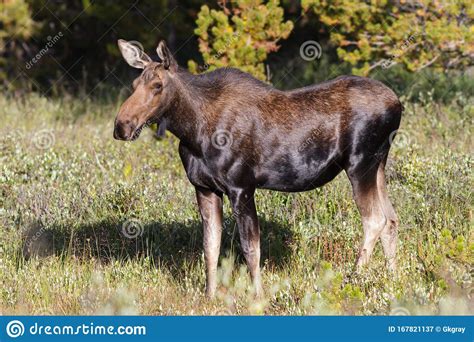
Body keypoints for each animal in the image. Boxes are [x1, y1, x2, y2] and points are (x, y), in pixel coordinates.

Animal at [113, 39, 402, 296]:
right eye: (134, 84)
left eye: (157, 85)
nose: (122, 126)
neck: (191, 131)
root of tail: (397, 104)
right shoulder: (204, 188)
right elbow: (210, 247)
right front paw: (209, 295)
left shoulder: (241, 187)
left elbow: (251, 248)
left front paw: (258, 295)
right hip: (378, 164)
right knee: (391, 219)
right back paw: (391, 279)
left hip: (360, 164)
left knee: (374, 220)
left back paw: (352, 281)